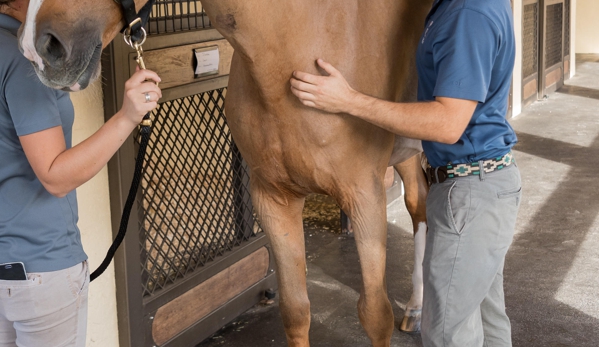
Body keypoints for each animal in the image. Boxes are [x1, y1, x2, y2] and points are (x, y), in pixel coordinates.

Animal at [17, 0, 432, 346]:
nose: (38, 45)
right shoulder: (274, 200)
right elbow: (295, 310)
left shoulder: (364, 198)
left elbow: (374, 314)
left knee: (418, 210)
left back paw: (415, 309)